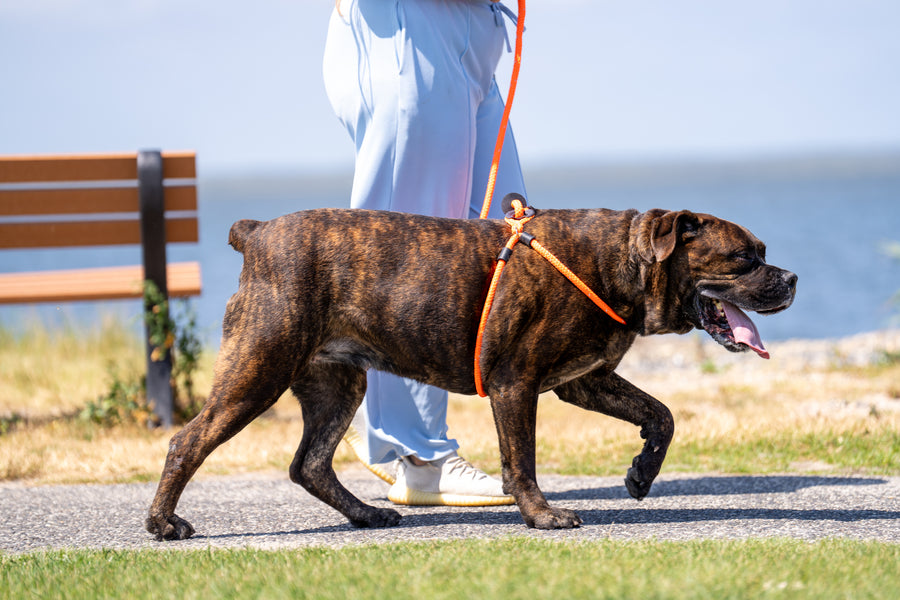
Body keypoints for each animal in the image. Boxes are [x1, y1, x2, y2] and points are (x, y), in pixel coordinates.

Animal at [144, 203, 800, 540]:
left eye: (765, 253)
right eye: (745, 258)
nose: (792, 277)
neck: (622, 259)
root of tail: (256, 234)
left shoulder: (584, 380)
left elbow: (660, 415)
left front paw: (642, 473)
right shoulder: (517, 385)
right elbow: (522, 460)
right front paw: (541, 516)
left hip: (338, 383)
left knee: (309, 463)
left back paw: (366, 515)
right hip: (257, 370)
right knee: (187, 441)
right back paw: (162, 522)